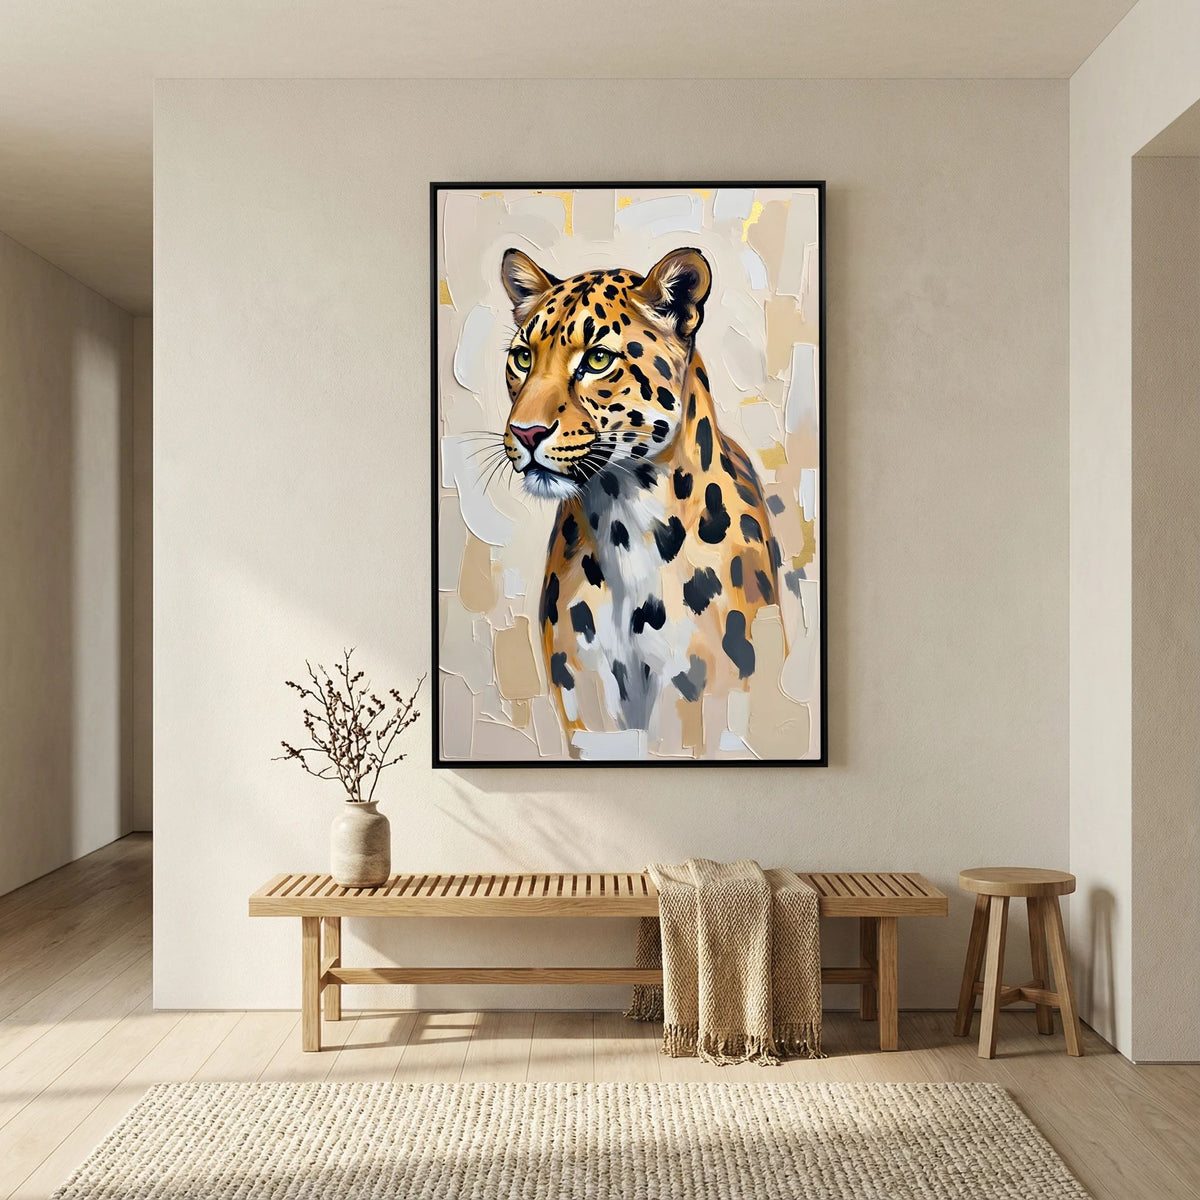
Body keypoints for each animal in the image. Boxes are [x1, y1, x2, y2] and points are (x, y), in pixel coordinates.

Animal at [499, 245, 782, 757]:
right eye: (523, 357)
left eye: (597, 359)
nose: (526, 432)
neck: (623, 520)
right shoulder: (585, 698)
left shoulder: (698, 694)